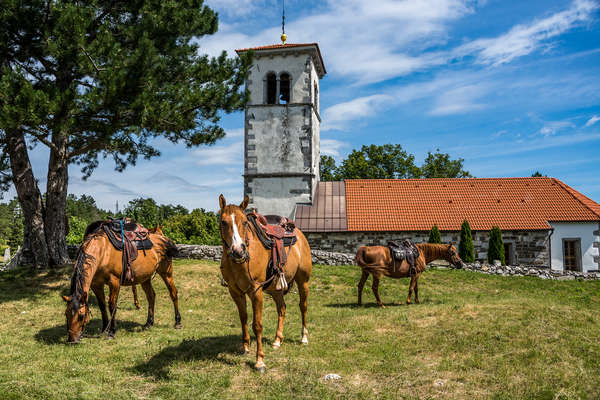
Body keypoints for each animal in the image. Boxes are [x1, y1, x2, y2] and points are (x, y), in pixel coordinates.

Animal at [220, 195, 314, 374]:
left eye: (245, 222)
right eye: (223, 222)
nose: (238, 251)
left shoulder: (256, 291)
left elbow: (257, 325)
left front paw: (259, 361)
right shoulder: (235, 292)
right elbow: (243, 318)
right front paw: (245, 347)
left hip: (303, 281)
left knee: (303, 307)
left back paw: (304, 337)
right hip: (275, 289)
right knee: (282, 308)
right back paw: (277, 340)